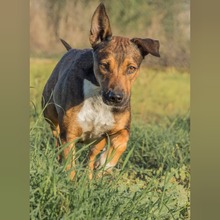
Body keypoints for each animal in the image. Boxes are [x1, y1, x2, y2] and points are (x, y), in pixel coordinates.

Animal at [42, 2, 161, 180]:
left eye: (131, 68)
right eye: (104, 65)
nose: (116, 97)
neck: (98, 97)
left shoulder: (119, 127)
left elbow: (122, 140)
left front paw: (106, 163)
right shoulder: (69, 134)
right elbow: (70, 164)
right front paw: (70, 183)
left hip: (97, 139)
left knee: (91, 155)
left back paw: (92, 174)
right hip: (50, 112)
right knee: (56, 135)